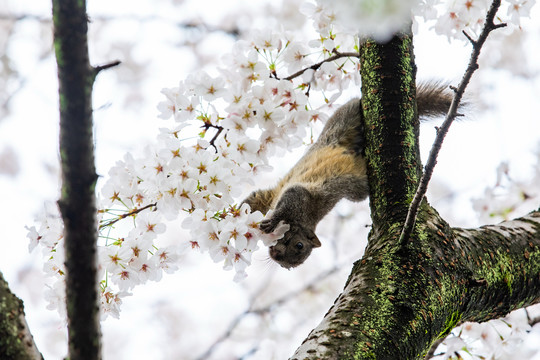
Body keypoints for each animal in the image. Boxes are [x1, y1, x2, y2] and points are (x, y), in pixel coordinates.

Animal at [243, 83, 458, 268]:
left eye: (299, 248)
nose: (277, 257)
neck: (304, 221)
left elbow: (266, 197)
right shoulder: (301, 198)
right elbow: (276, 199)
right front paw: (262, 219)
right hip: (345, 119)